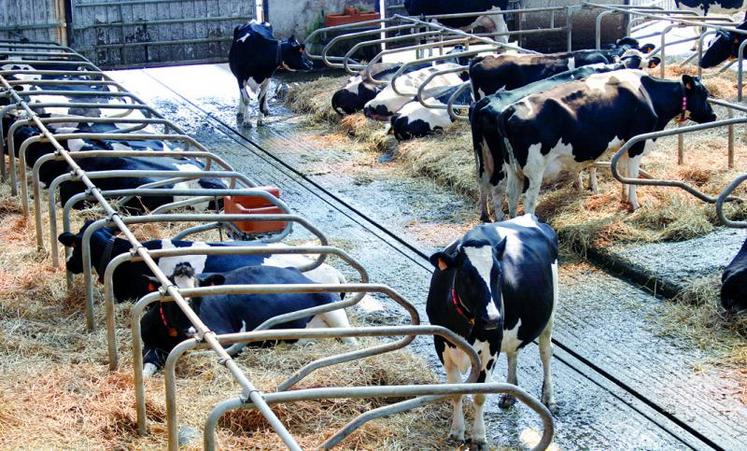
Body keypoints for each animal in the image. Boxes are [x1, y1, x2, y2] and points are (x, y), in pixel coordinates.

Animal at [140, 262, 353, 374]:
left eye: (200, 294)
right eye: (169, 296)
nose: (192, 330)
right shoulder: (148, 343)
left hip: (335, 313)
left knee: (351, 342)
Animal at [426, 214, 558, 448]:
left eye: (498, 273)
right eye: (467, 275)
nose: (494, 319)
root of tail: (530, 216)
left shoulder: (491, 348)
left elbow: (479, 395)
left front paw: (479, 437)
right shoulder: (441, 343)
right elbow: (455, 391)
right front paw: (457, 431)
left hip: (550, 313)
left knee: (546, 352)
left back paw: (549, 398)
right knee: (514, 351)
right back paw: (509, 394)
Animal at [497, 71, 716, 217]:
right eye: (704, 93)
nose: (713, 115)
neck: (648, 94)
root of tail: (510, 110)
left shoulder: (625, 145)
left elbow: (623, 171)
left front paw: (624, 198)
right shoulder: (637, 143)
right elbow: (633, 174)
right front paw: (635, 205)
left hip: (513, 169)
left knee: (511, 195)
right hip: (534, 170)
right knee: (528, 199)